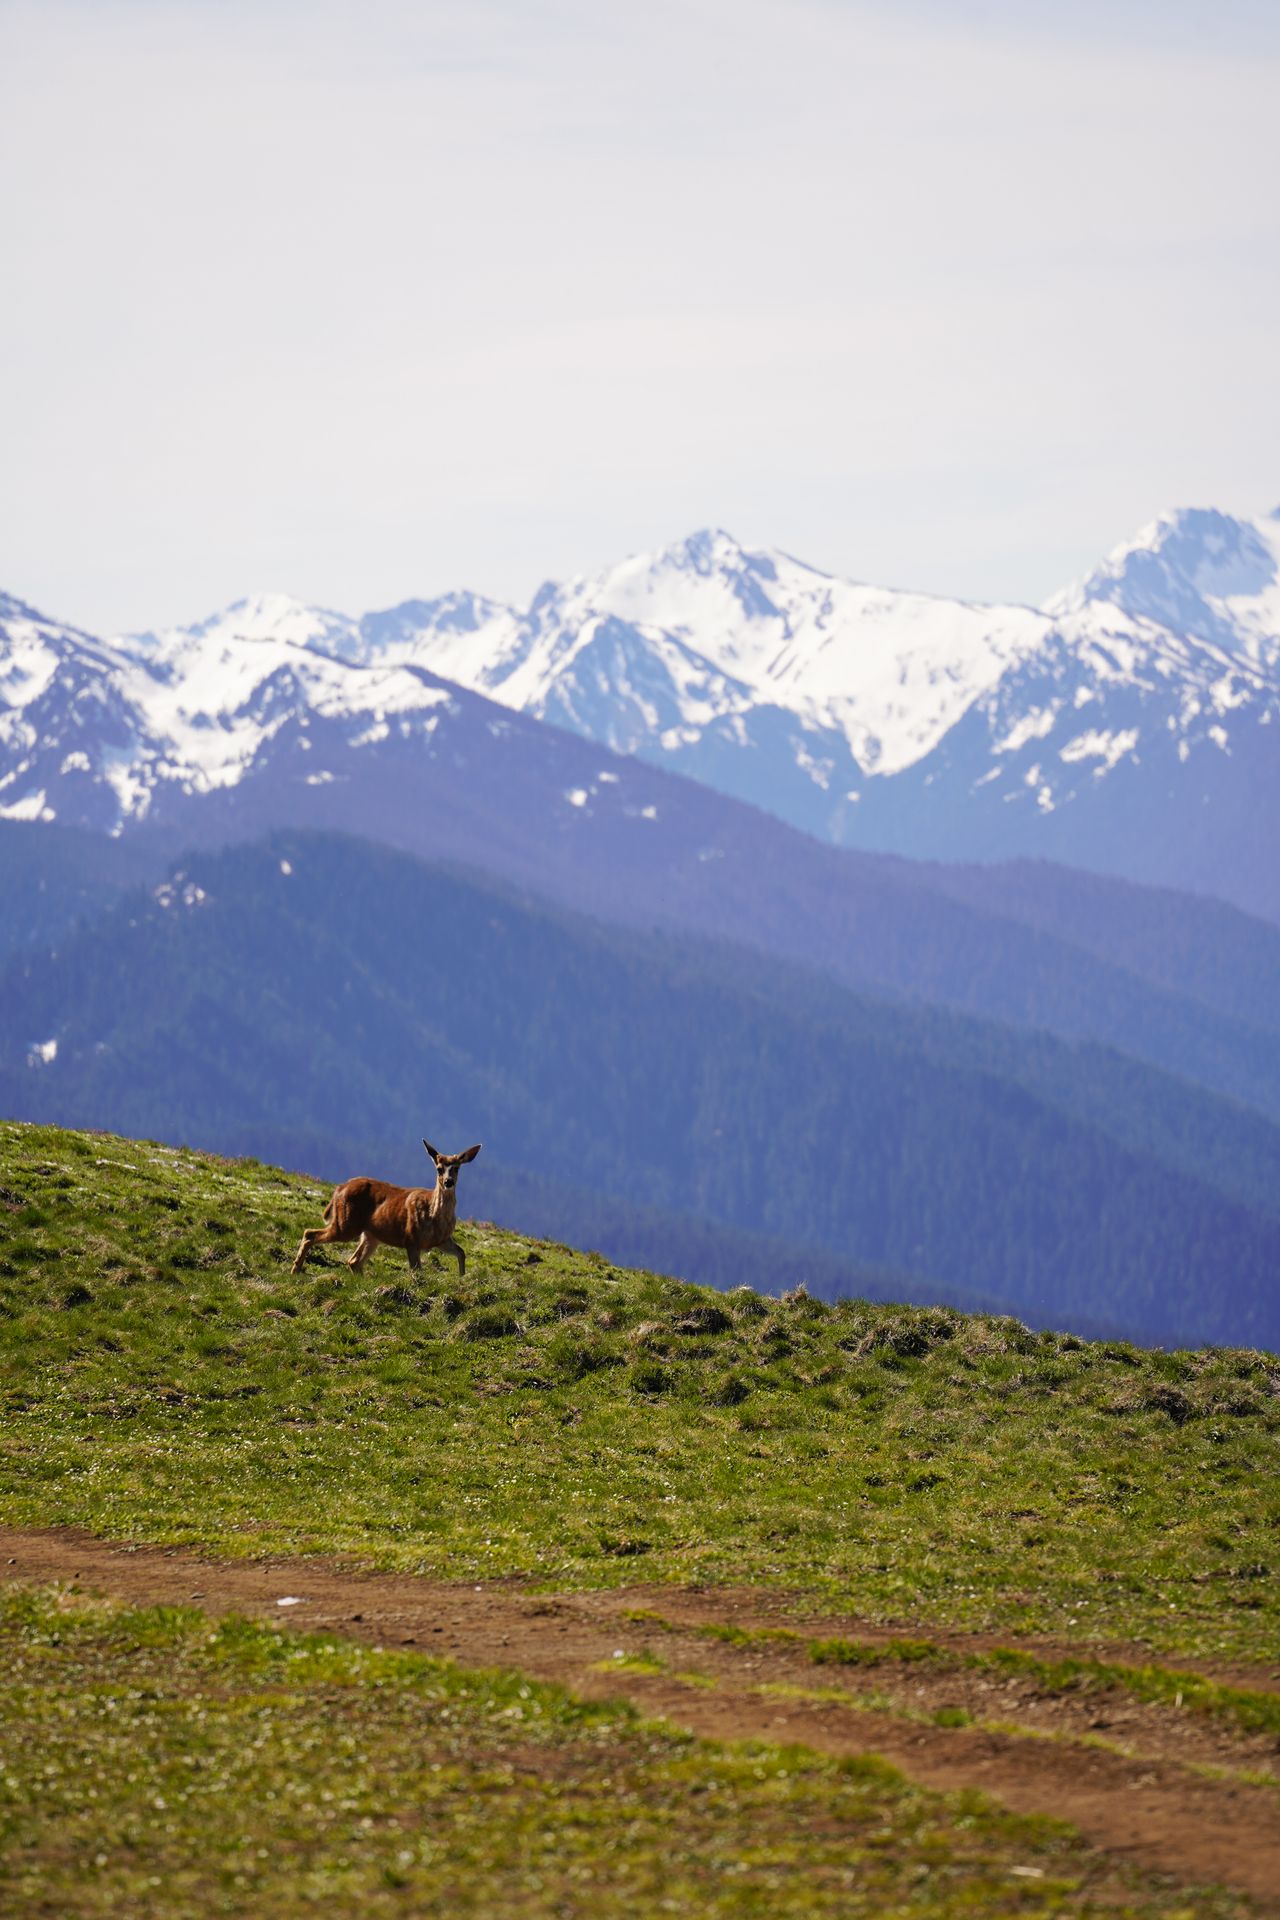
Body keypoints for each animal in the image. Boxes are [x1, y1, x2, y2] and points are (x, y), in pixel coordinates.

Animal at [290, 1140, 481, 1279]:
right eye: (439, 1169)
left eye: (456, 1168)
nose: (448, 1182)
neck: (434, 1216)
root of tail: (339, 1188)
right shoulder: (411, 1238)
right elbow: (417, 1270)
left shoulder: (441, 1240)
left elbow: (461, 1253)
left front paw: (462, 1278)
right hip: (346, 1224)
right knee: (310, 1233)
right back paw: (295, 1270)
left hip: (370, 1234)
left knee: (353, 1261)